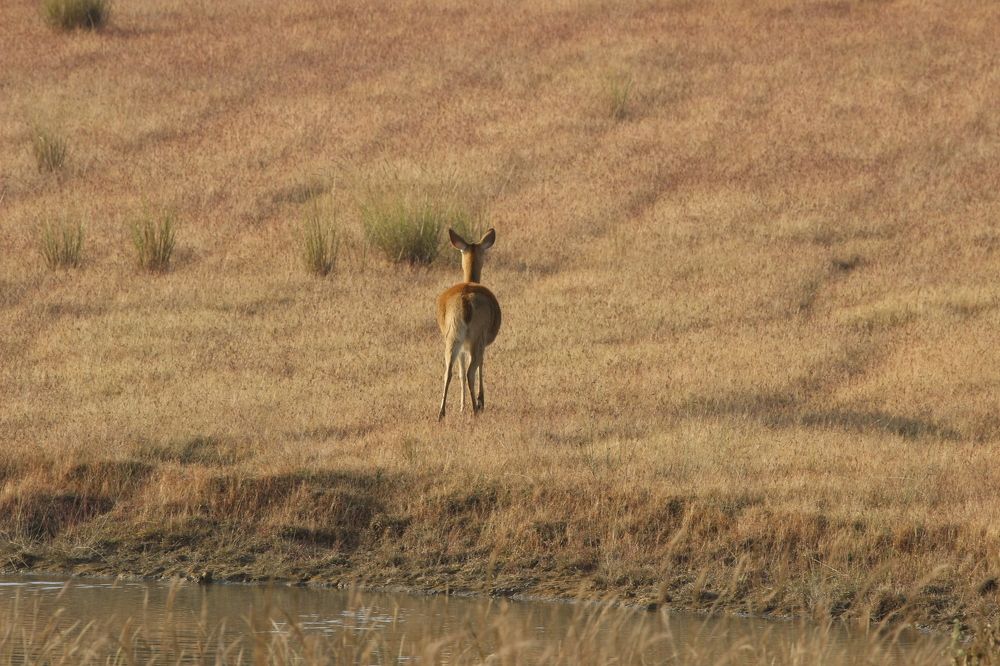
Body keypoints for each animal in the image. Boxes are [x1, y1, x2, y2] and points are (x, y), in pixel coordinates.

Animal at [436, 228, 501, 420]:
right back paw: (475, 408)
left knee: (449, 372)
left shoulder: (463, 347)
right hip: (476, 339)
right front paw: (480, 401)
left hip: (453, 338)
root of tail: (465, 300)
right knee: (471, 370)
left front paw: (461, 407)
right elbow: (480, 365)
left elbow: (459, 372)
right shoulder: (482, 343)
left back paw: (441, 413)